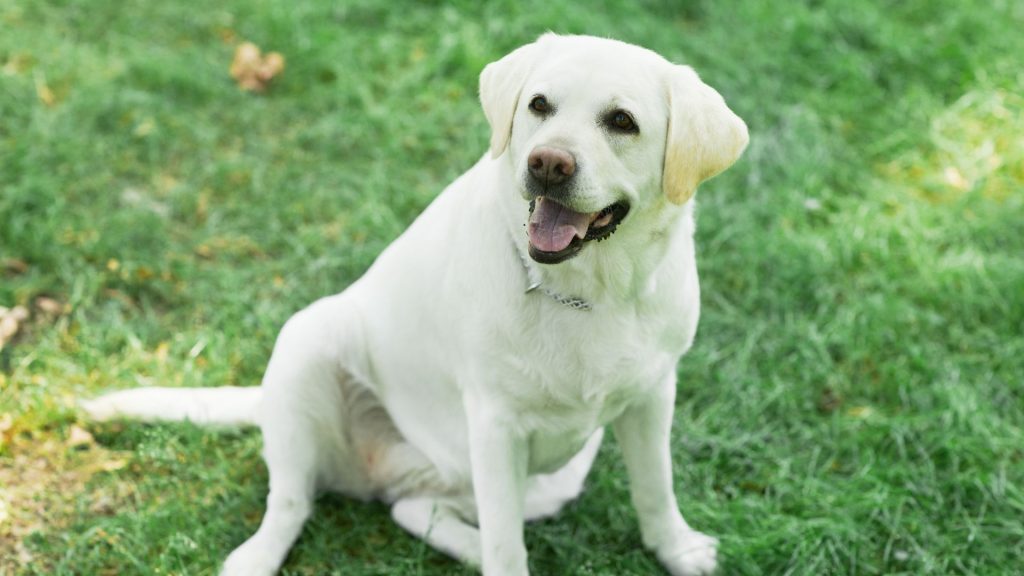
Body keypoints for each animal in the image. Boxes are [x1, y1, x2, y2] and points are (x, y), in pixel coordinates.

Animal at [83, 33, 749, 569]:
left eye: (622, 121)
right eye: (539, 105)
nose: (547, 163)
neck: (587, 291)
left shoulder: (653, 394)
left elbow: (656, 489)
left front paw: (678, 551)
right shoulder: (496, 424)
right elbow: (509, 548)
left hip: (545, 476)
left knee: (414, 510)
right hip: (307, 343)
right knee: (291, 500)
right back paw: (256, 556)